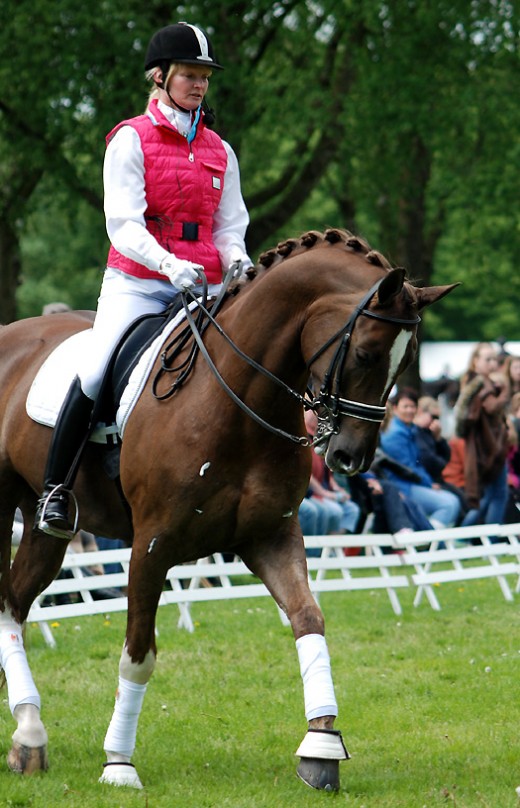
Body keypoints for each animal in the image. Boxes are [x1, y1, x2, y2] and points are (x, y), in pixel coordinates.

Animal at [0, 227, 456, 788]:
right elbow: (138, 654)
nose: (351, 457)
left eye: (407, 360)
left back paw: (28, 734)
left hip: (45, 529)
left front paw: (321, 747)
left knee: (12, 603)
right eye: (368, 353)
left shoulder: (271, 536)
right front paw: (119, 764)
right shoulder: (150, 546)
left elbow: (309, 619)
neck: (237, 398)